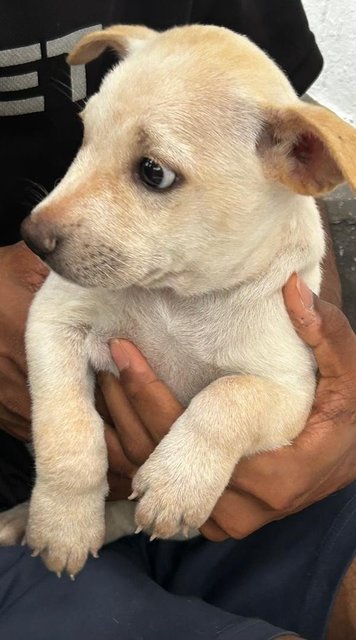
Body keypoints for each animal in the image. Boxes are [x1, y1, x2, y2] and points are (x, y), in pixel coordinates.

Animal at [0, 25, 356, 576]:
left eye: (154, 173)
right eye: (86, 137)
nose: (30, 238)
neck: (177, 298)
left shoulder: (290, 389)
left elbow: (227, 397)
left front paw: (176, 484)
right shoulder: (53, 322)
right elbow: (69, 434)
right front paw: (63, 526)